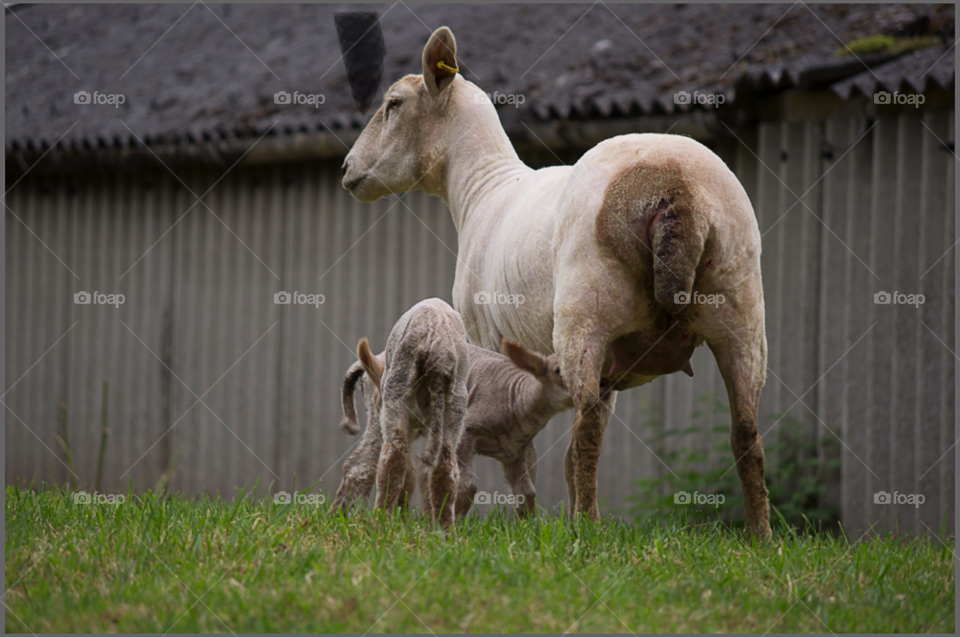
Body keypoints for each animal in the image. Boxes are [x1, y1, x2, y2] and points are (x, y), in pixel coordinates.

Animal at [332, 338, 568, 516]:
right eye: (558, 371)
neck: (516, 396)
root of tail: (373, 362)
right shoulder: (466, 432)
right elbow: (466, 485)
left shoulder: (515, 450)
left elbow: (525, 492)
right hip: (384, 412)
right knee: (361, 466)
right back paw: (353, 517)